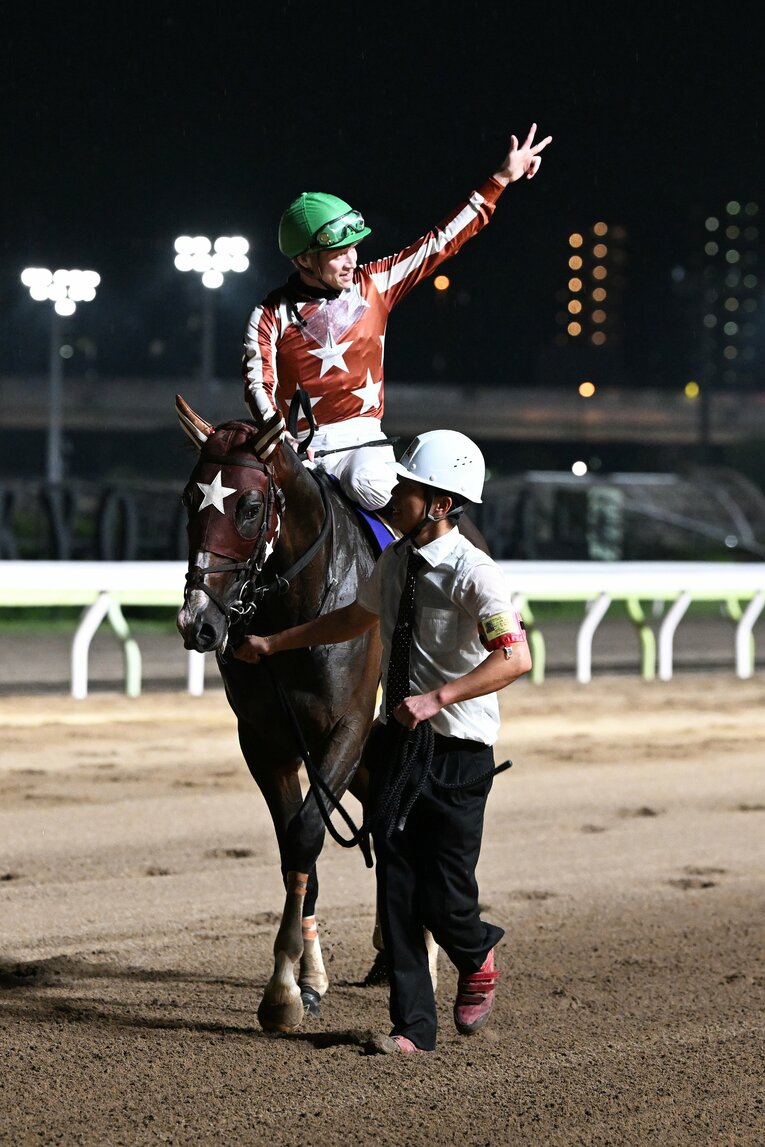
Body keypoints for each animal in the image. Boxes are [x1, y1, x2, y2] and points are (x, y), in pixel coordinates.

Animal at [175, 395, 382, 1033]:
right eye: (189, 499)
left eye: (250, 506)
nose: (198, 624)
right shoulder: (267, 741)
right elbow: (294, 847)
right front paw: (302, 983)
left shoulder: (348, 728)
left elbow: (308, 832)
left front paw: (283, 990)